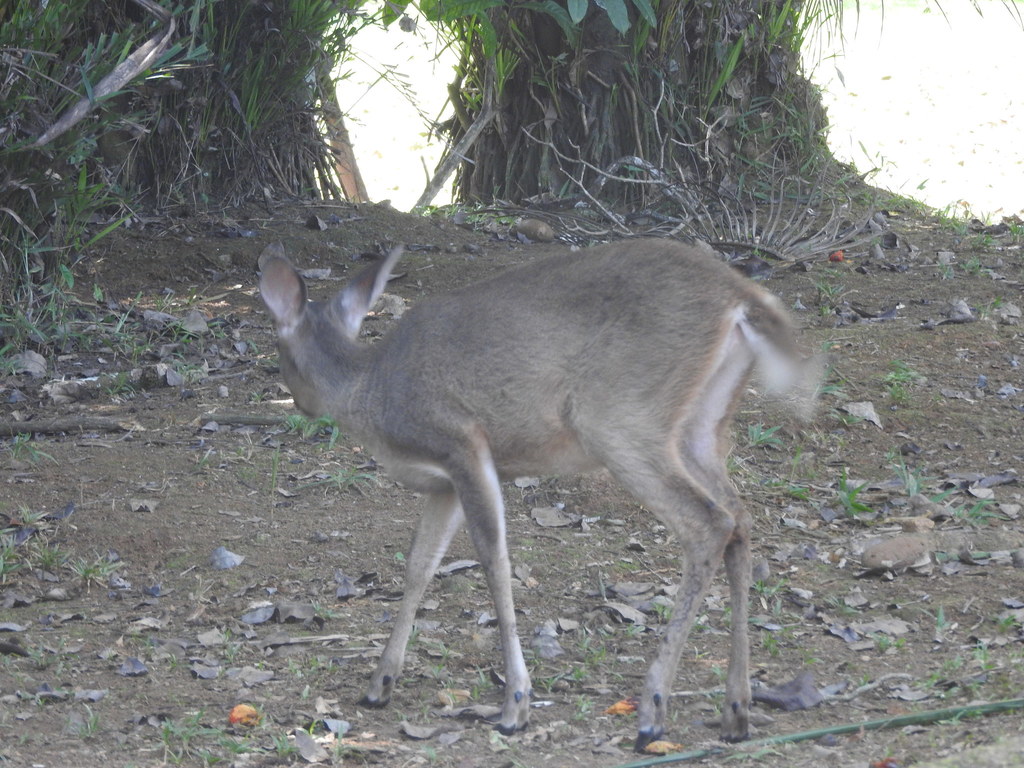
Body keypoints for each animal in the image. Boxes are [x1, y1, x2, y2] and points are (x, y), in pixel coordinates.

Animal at [258, 237, 820, 751]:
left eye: (279, 354)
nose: (299, 404)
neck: (371, 393)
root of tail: (741, 296)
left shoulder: (464, 444)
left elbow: (493, 559)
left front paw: (515, 704)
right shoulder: (443, 483)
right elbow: (420, 564)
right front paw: (380, 683)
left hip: (621, 416)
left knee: (709, 523)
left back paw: (653, 711)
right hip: (702, 425)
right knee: (740, 518)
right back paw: (736, 709)